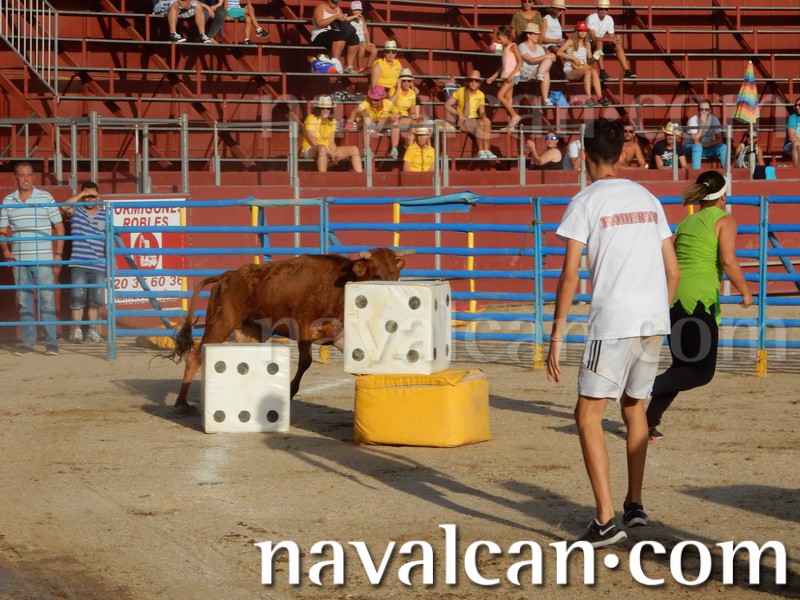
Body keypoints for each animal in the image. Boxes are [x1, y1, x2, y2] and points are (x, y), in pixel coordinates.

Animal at [168, 247, 414, 407]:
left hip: (250, 333)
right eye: (378, 276)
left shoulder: (339, 335)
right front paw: (290, 391)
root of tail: (227, 276)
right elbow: (305, 361)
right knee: (195, 358)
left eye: (397, 275)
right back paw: (181, 403)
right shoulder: (303, 326)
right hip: (221, 323)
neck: (336, 289)